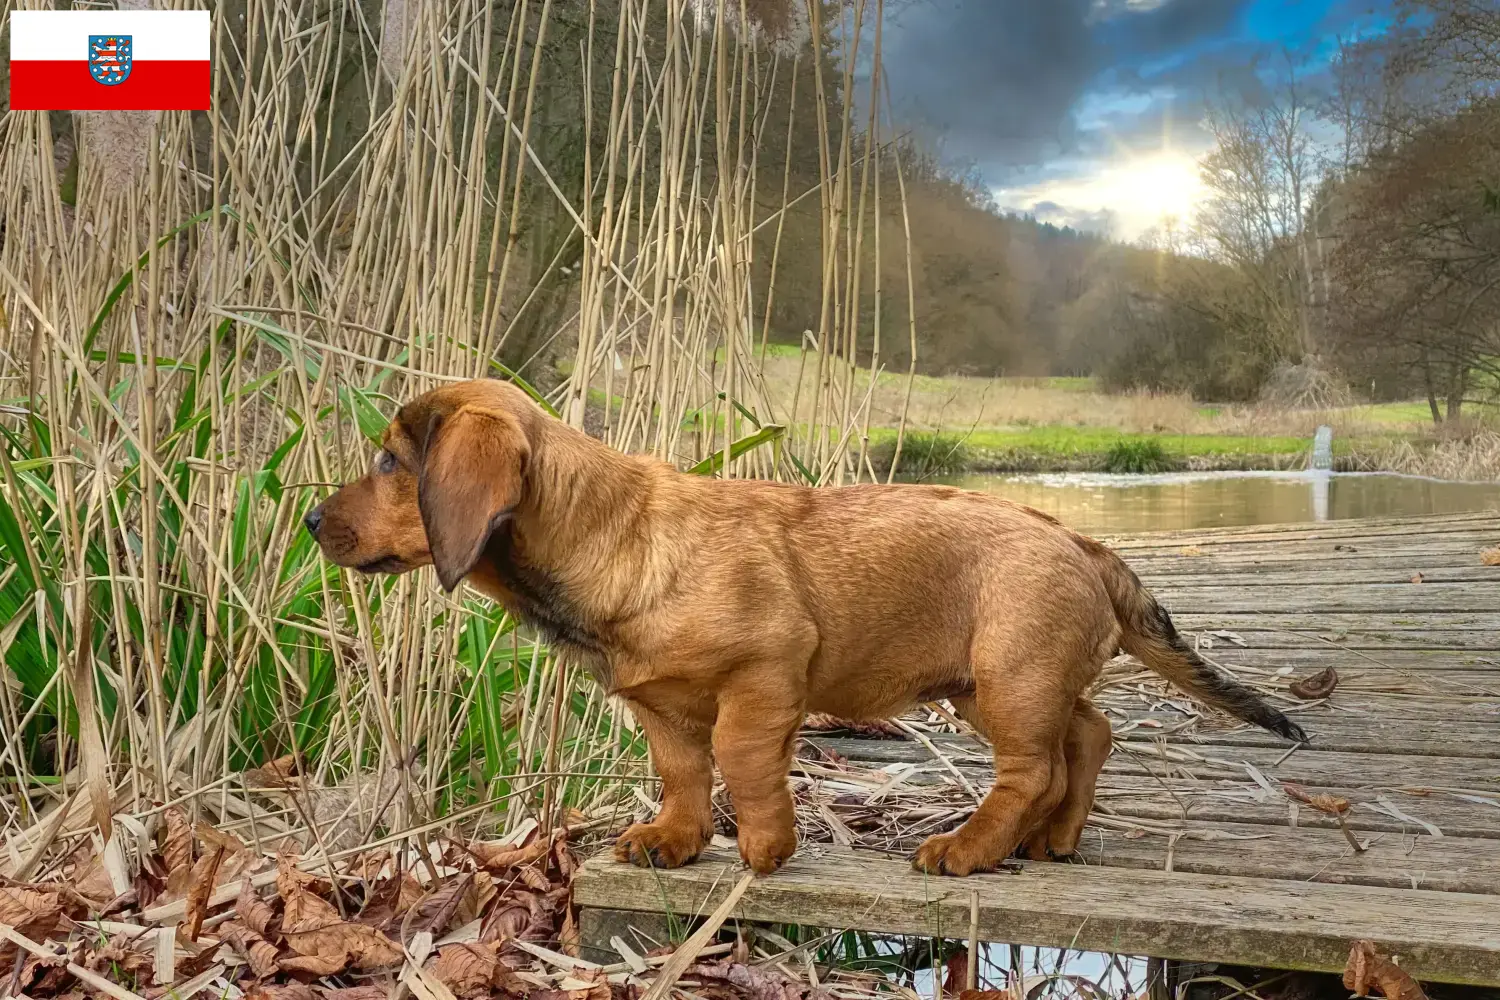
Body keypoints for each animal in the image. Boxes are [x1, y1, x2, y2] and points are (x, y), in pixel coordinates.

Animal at [304, 379, 1302, 869]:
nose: (311, 521)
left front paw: (765, 849)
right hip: (993, 684)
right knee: (1087, 737)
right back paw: (1051, 840)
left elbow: (743, 763)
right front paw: (674, 842)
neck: (617, 537)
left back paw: (971, 848)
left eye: (391, 462)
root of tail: (1081, 539)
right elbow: (682, 772)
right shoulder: (661, 707)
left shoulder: (764, 679)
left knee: (1034, 770)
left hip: (1010, 681)